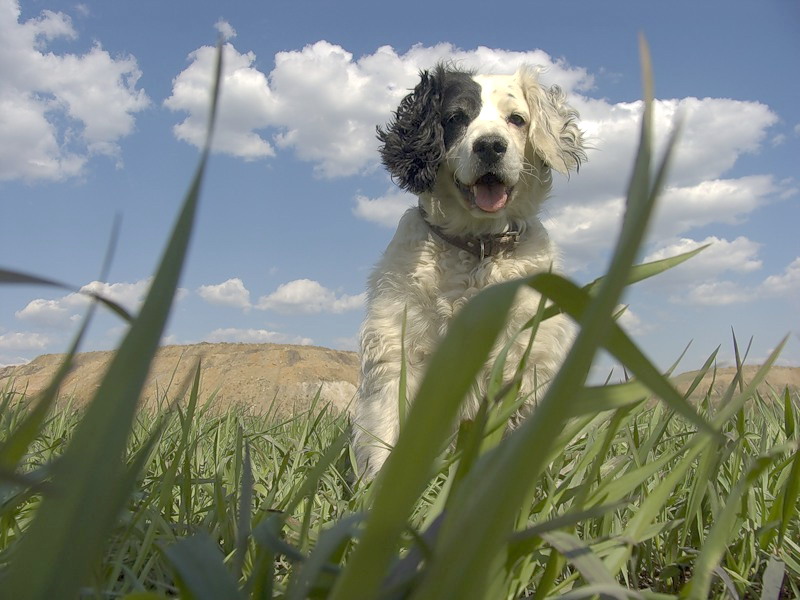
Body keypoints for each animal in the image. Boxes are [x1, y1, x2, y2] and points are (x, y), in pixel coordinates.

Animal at [354, 63, 584, 478]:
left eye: (517, 119)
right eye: (456, 118)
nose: (490, 145)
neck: (477, 250)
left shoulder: (530, 363)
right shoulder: (397, 353)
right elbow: (384, 438)